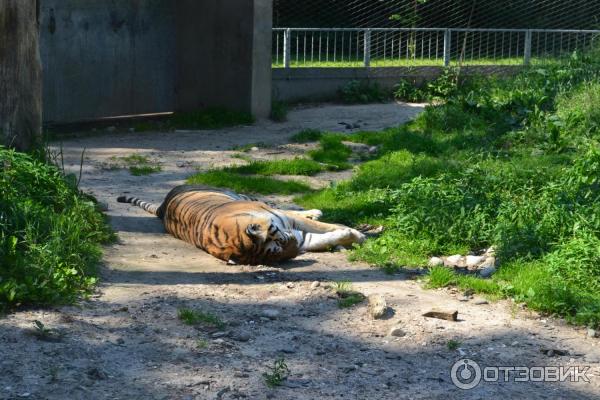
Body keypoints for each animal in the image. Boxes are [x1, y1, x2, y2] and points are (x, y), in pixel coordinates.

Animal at [115, 185, 364, 266]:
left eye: (280, 243)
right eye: (279, 255)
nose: (296, 250)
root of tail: (163, 206)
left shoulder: (288, 223)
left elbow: (324, 227)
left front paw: (356, 233)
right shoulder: (294, 231)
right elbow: (323, 234)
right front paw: (355, 235)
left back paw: (314, 211)